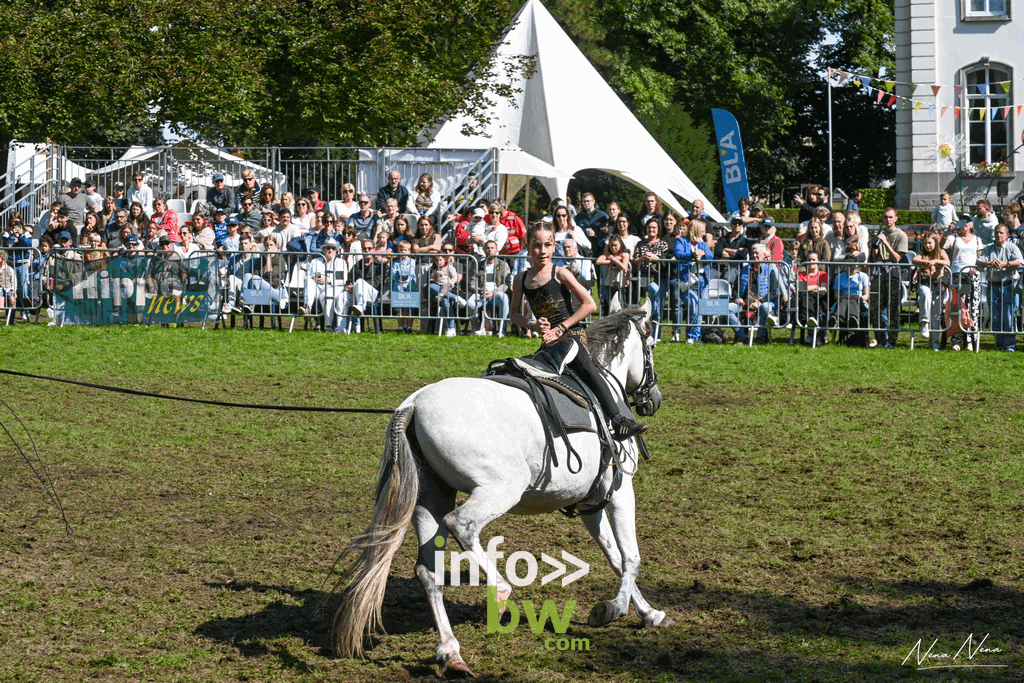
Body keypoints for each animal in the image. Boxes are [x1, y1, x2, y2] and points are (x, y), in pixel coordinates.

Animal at [333, 305, 671, 679]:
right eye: (652, 346)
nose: (654, 399)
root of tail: (414, 404)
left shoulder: (591, 505)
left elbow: (613, 557)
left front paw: (649, 613)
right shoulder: (620, 492)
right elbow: (630, 557)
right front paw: (615, 608)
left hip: (431, 499)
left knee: (428, 569)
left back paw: (452, 654)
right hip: (501, 489)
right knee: (462, 525)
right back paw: (500, 591)